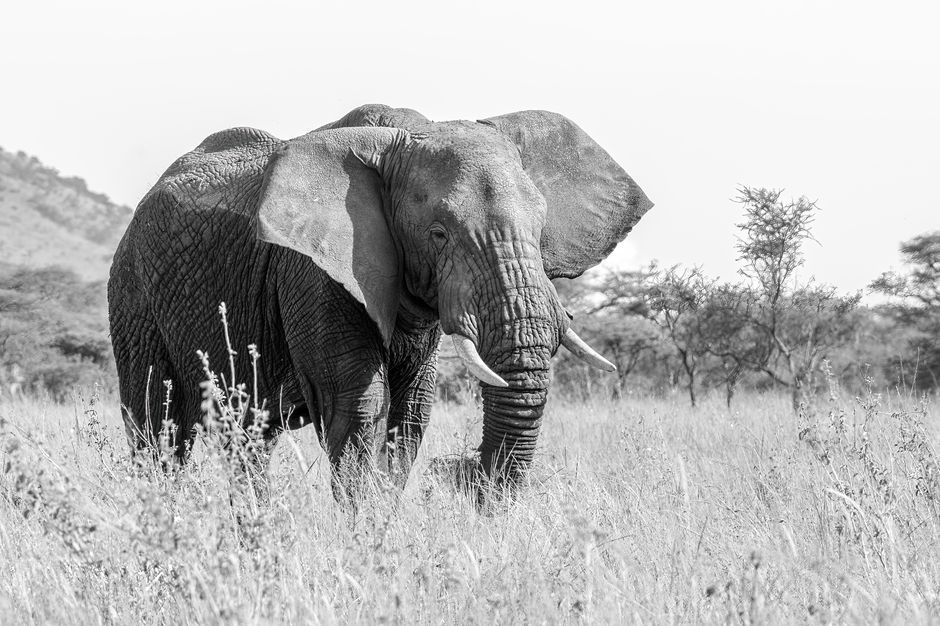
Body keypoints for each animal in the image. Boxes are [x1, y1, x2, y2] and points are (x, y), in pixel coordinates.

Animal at [108, 103, 653, 487]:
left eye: (541, 231)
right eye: (439, 234)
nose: (468, 479)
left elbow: (410, 414)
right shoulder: (312, 273)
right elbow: (354, 409)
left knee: (248, 436)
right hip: (132, 292)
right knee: (159, 430)